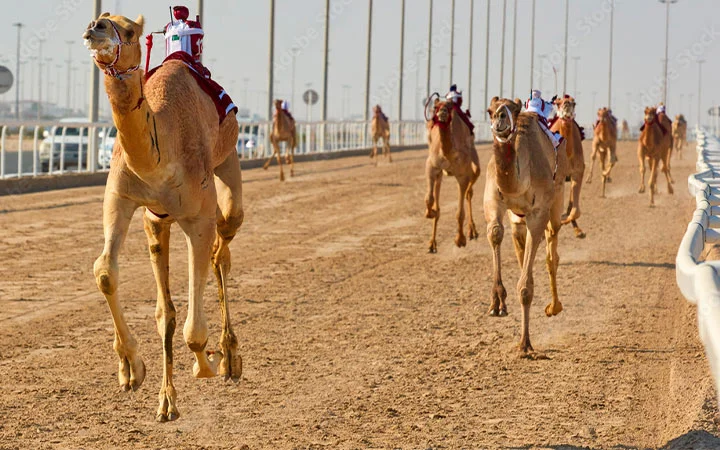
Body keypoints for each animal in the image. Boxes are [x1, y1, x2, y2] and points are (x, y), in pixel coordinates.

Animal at [83, 14, 243, 421]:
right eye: (100, 19)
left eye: (129, 30)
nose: (97, 26)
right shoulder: (121, 197)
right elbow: (105, 272)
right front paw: (133, 371)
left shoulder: (197, 217)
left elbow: (193, 328)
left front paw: (206, 363)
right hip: (157, 221)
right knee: (167, 305)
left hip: (227, 165)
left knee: (225, 238)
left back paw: (229, 355)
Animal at [424, 98, 481, 253]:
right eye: (436, 107)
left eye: (449, 107)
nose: (442, 113)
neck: (448, 153)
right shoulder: (432, 166)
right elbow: (429, 199)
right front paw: (431, 212)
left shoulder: (462, 175)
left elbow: (460, 213)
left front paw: (460, 240)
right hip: (441, 174)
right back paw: (432, 244)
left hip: (473, 162)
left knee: (470, 189)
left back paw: (472, 231)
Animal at [484, 96, 569, 354]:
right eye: (490, 110)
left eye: (513, 109)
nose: (499, 118)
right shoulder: (493, 198)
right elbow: (495, 232)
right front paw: (497, 302)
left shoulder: (538, 212)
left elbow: (525, 287)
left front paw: (525, 345)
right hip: (517, 217)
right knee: (523, 248)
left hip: (557, 197)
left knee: (552, 249)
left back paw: (554, 306)